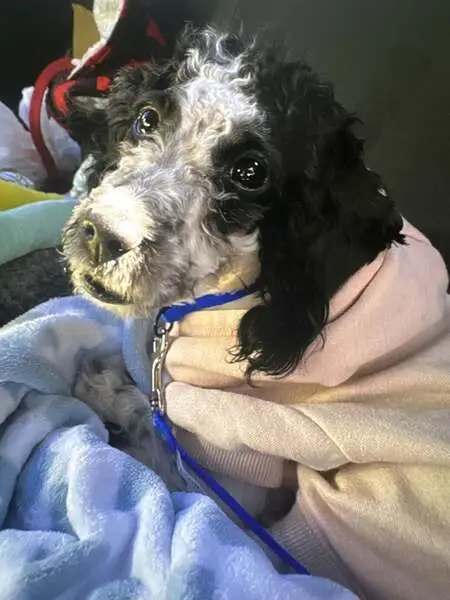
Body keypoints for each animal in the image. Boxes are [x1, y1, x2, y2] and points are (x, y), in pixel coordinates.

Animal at [64, 24, 404, 510]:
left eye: (249, 172)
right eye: (147, 119)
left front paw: (104, 388)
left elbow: (153, 435)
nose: (102, 235)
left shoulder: (233, 489)